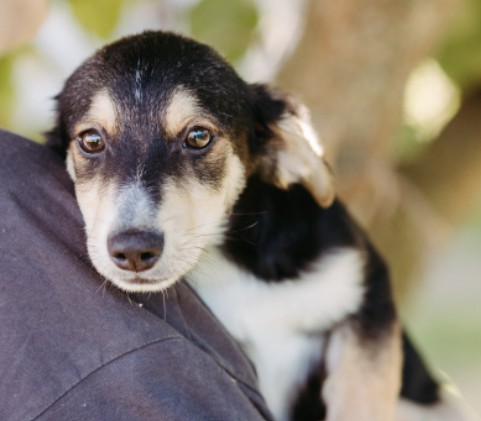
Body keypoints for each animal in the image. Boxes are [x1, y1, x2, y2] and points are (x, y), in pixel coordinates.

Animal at [47, 31, 474, 421]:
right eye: (91, 140)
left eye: (198, 136)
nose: (134, 250)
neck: (232, 266)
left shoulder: (369, 294)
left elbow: (361, 395)